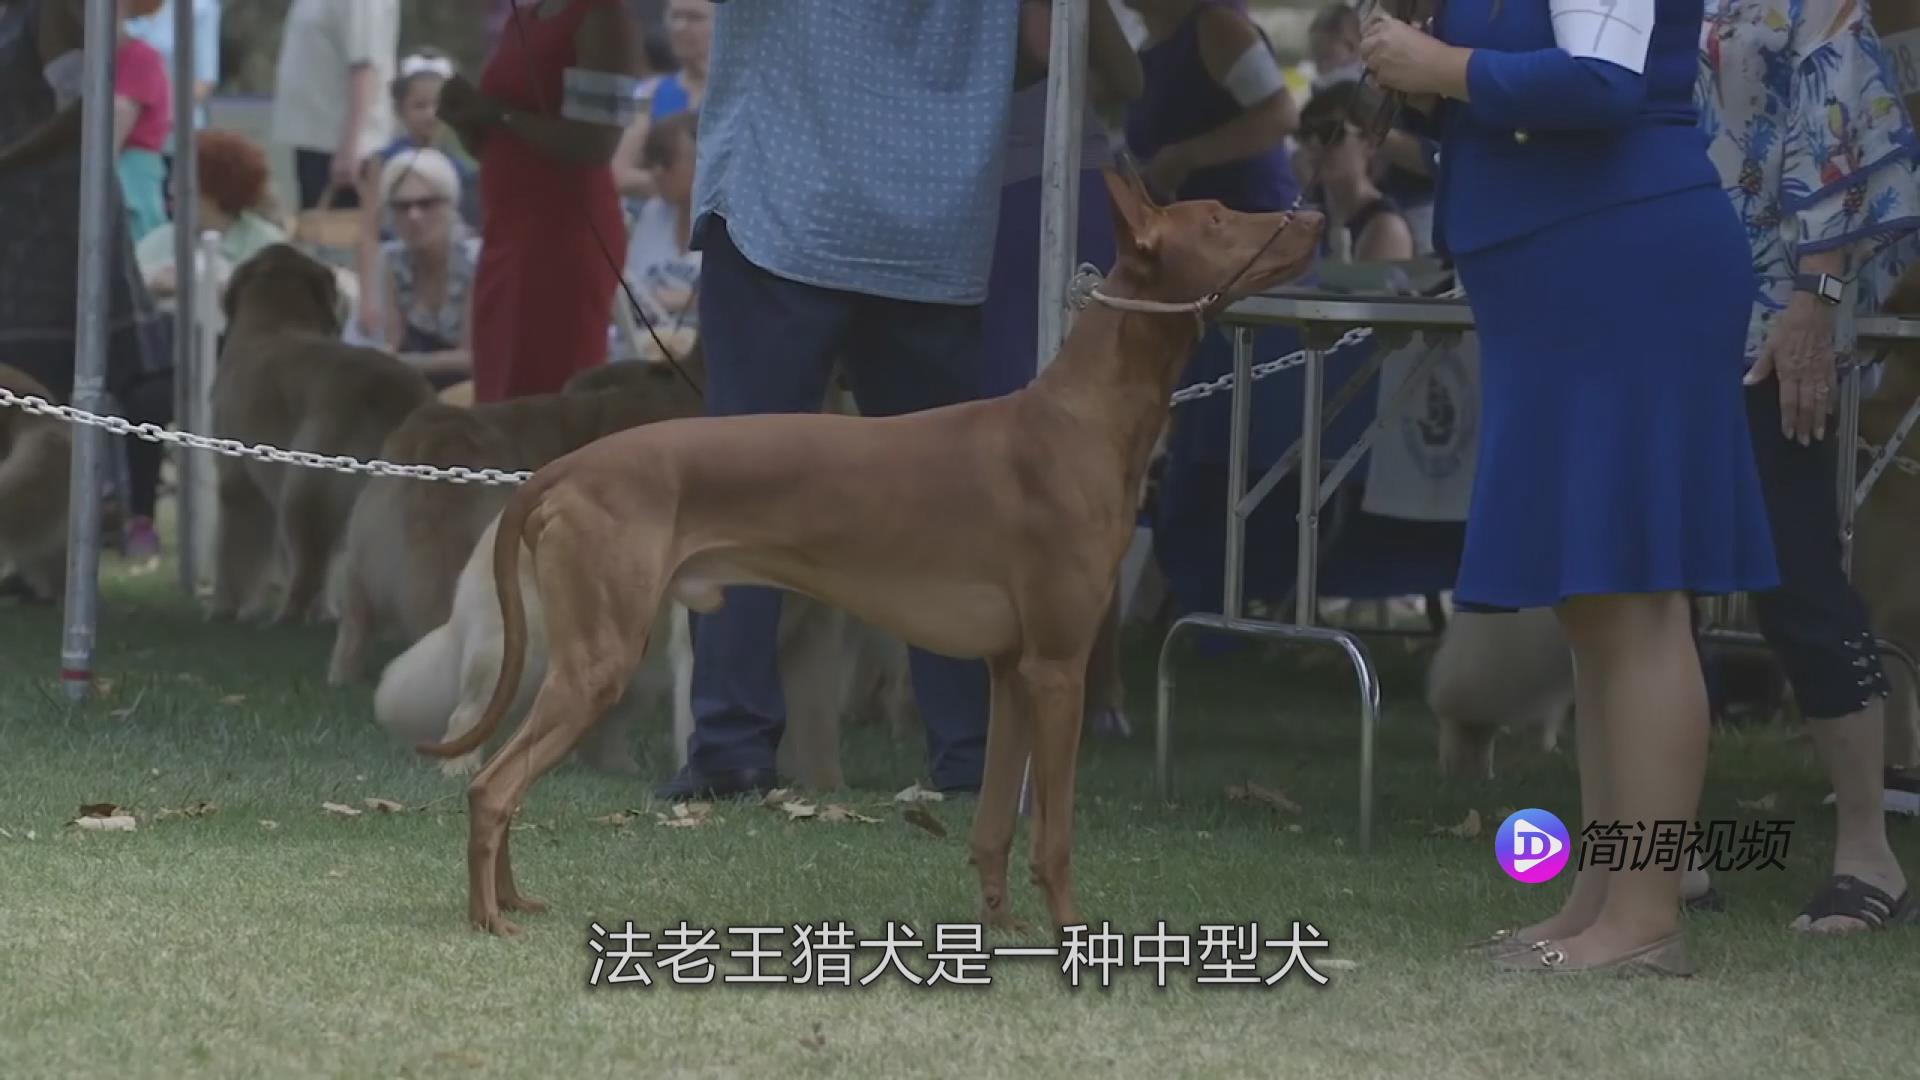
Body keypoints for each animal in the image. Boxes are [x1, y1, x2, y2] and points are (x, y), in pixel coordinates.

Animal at [210, 245, 435, 622]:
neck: (274, 319)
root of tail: (396, 392)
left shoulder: (238, 481)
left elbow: (234, 550)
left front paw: (226, 607)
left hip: (306, 488)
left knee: (309, 565)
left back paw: (286, 618)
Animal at [418, 166, 1320, 933]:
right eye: (1218, 217)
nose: (1309, 216)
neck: (1081, 416)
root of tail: (565, 466)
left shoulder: (1010, 672)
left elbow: (993, 822)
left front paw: (1000, 922)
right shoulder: (1058, 669)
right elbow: (1054, 832)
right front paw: (1069, 929)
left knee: (507, 782)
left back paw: (514, 899)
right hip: (597, 658)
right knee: (493, 786)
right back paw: (488, 917)